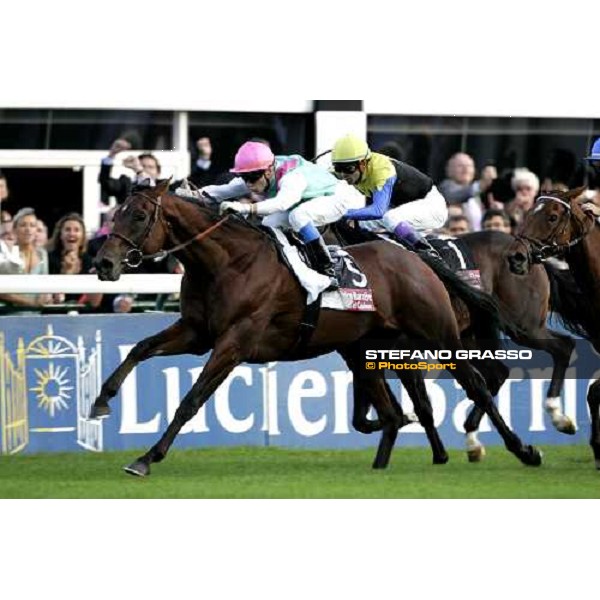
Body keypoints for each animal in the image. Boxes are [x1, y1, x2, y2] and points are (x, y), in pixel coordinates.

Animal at [90, 180, 544, 476]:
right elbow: (140, 349)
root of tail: (415, 256)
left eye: (140, 215)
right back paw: (385, 461)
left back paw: (521, 450)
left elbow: (192, 399)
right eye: (115, 213)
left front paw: (146, 458)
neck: (228, 262)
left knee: (478, 384)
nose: (103, 264)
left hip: (439, 336)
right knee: (395, 409)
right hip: (370, 347)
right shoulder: (196, 332)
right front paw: (101, 401)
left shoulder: (235, 341)